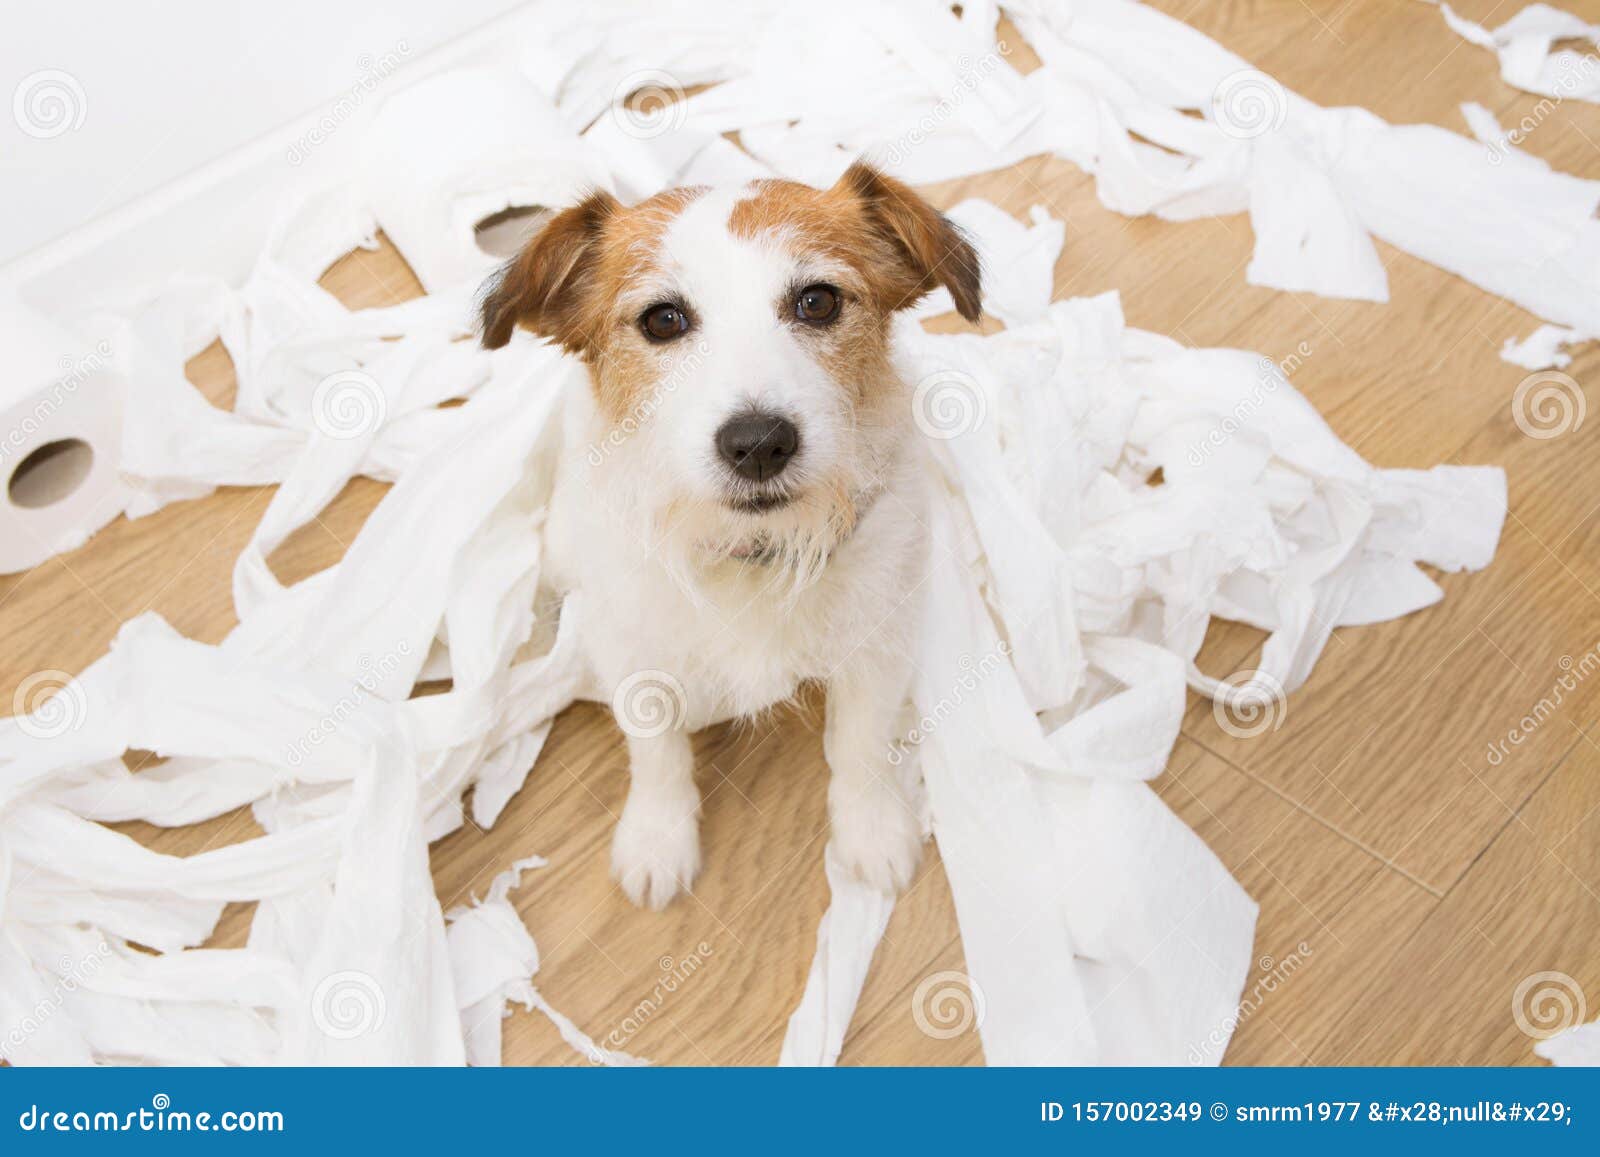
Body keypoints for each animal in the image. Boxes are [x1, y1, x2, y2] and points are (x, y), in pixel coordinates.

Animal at [476, 163, 972, 908]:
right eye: (663, 319)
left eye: (818, 302)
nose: (759, 443)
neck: (749, 553)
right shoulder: (633, 652)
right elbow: (655, 750)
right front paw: (658, 838)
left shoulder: (877, 647)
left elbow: (860, 745)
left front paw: (871, 830)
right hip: (564, 544)